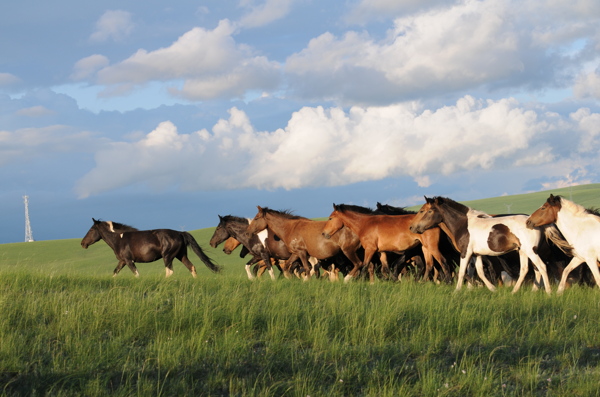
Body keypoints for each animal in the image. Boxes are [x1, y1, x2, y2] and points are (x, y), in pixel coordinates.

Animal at [81, 218, 219, 276]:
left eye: (91, 229)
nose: (82, 243)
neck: (119, 239)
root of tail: (180, 233)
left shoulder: (129, 261)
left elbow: (136, 274)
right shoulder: (122, 261)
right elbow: (115, 272)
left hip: (168, 256)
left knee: (169, 272)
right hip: (181, 255)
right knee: (191, 268)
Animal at [408, 196, 552, 292]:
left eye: (425, 211)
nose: (412, 228)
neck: (464, 225)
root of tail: (534, 222)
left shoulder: (465, 253)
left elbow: (462, 272)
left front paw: (457, 291)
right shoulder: (476, 254)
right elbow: (480, 272)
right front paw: (492, 289)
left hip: (530, 250)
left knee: (541, 267)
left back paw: (549, 292)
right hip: (523, 251)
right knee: (526, 270)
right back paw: (518, 291)